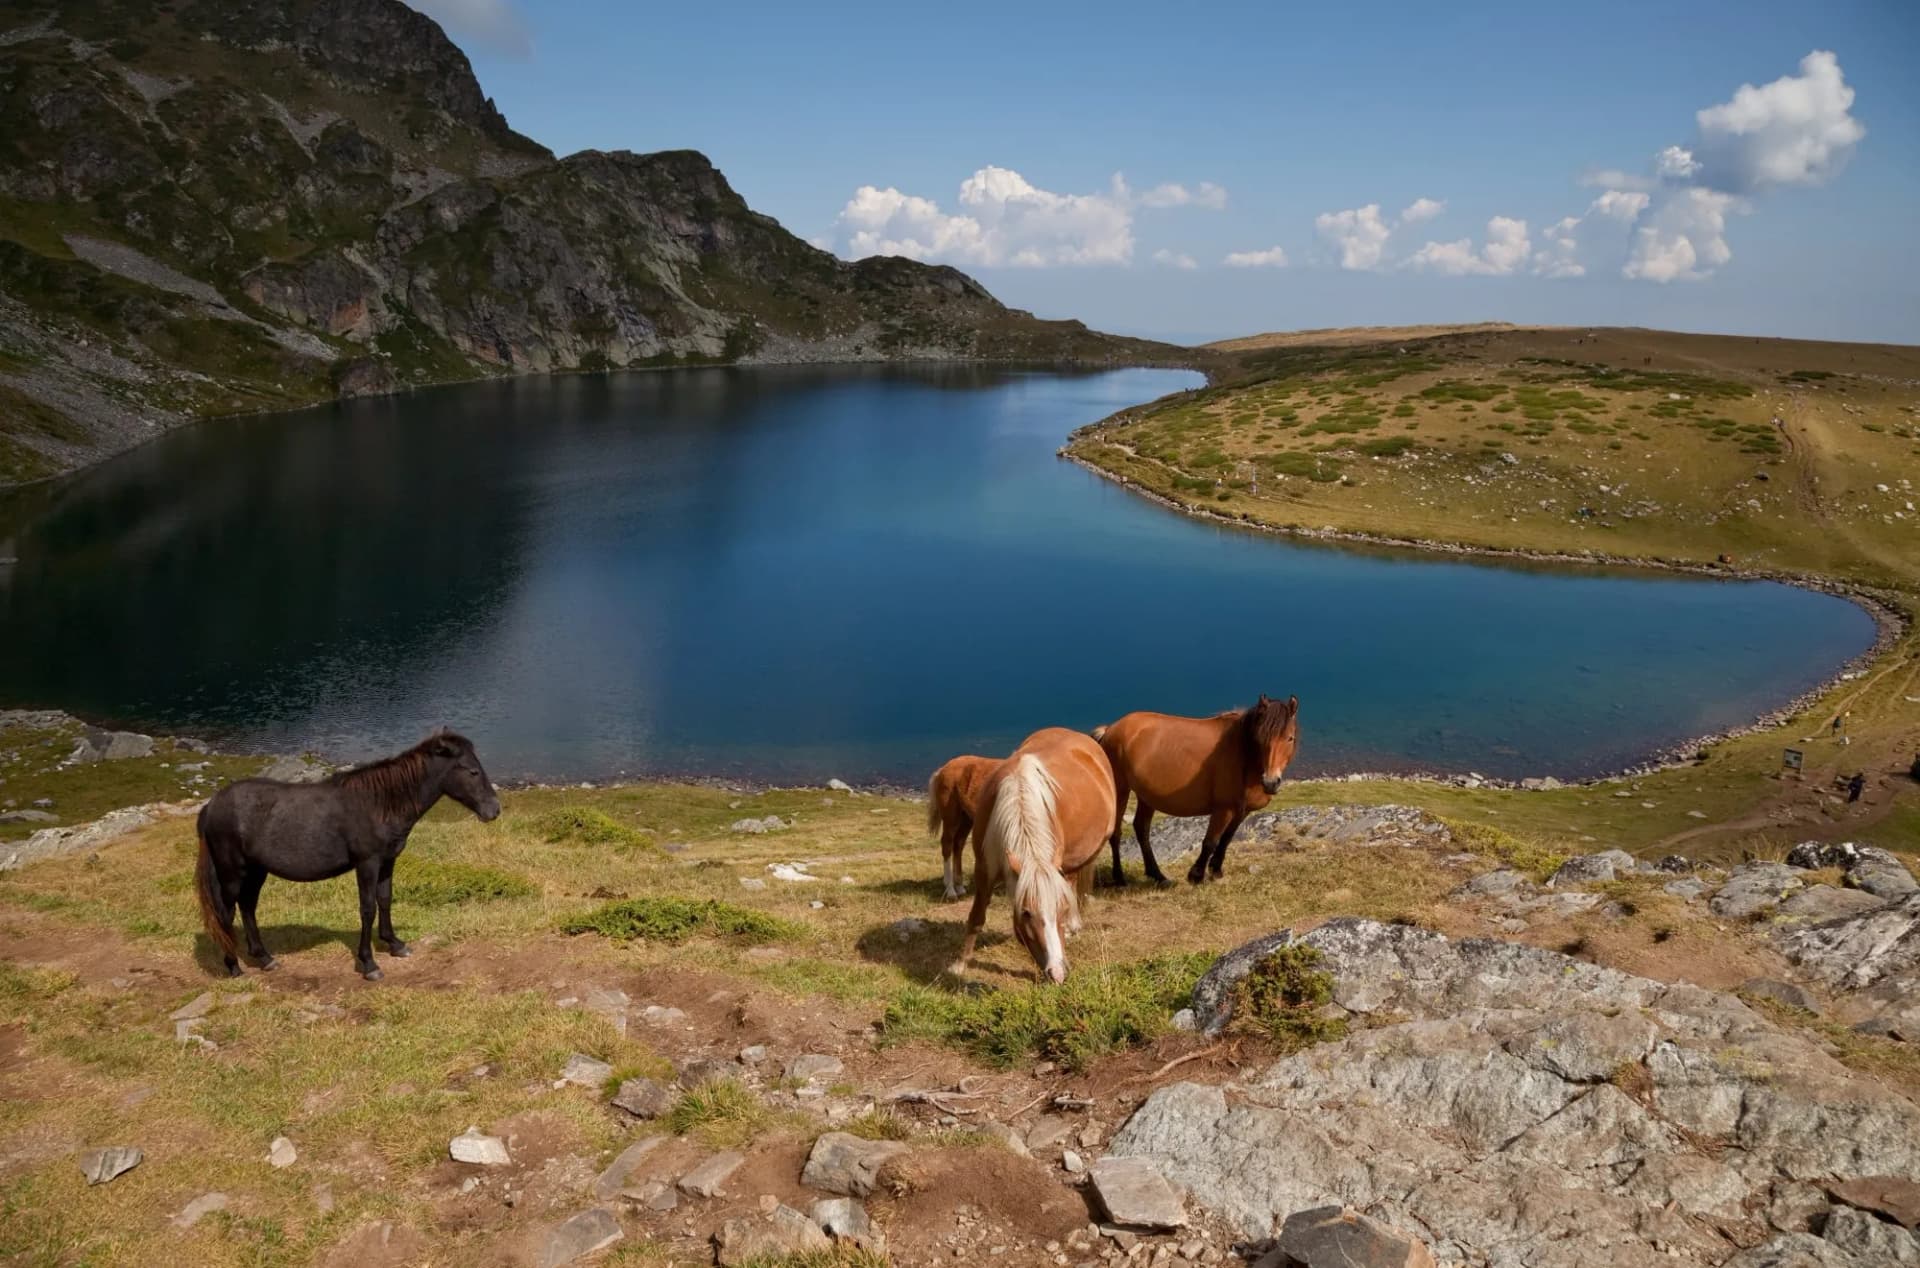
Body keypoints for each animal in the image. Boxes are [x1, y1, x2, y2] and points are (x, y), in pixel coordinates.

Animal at [195, 730, 501, 980]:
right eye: (472, 771)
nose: (494, 810)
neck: (379, 803)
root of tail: (211, 805)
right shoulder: (367, 864)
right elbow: (368, 908)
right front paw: (369, 964)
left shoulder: (387, 861)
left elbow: (385, 899)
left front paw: (395, 944)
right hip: (232, 873)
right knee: (226, 913)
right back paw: (233, 966)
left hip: (256, 870)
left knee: (247, 906)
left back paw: (264, 958)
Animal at [925, 754, 998, 900]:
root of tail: (943, 769)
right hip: (951, 818)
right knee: (947, 845)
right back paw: (950, 891)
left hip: (966, 819)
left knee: (958, 845)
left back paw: (959, 887)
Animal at [950, 727, 1115, 984]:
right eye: (1026, 913)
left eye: (1061, 909)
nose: (1058, 973)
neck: (1018, 797)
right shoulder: (984, 868)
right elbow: (976, 916)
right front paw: (960, 964)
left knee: (1074, 880)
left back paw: (1074, 926)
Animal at [1094, 694, 1299, 886]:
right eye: (1260, 738)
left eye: (1290, 738)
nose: (1270, 782)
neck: (1244, 755)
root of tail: (1111, 729)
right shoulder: (1223, 809)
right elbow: (1210, 842)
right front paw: (1197, 875)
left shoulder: (1242, 811)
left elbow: (1226, 839)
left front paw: (1216, 870)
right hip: (1121, 789)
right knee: (1116, 833)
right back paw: (1120, 878)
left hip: (1146, 796)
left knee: (1141, 828)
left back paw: (1158, 876)